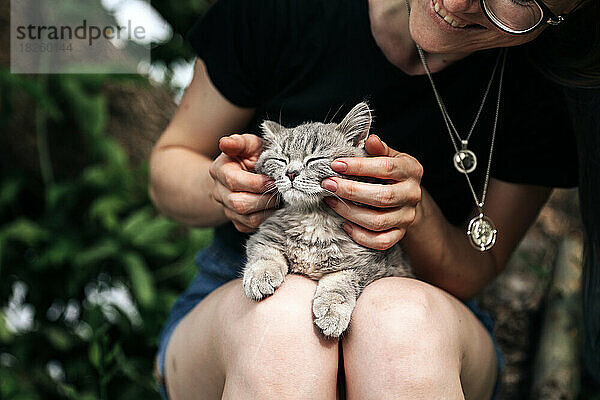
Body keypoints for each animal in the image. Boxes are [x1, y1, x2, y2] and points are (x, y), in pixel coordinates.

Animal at [240, 102, 412, 338]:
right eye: (281, 160)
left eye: (315, 159)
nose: (290, 173)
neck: (314, 219)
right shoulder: (265, 234)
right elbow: (265, 254)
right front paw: (260, 276)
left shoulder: (370, 266)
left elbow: (340, 284)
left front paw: (332, 311)